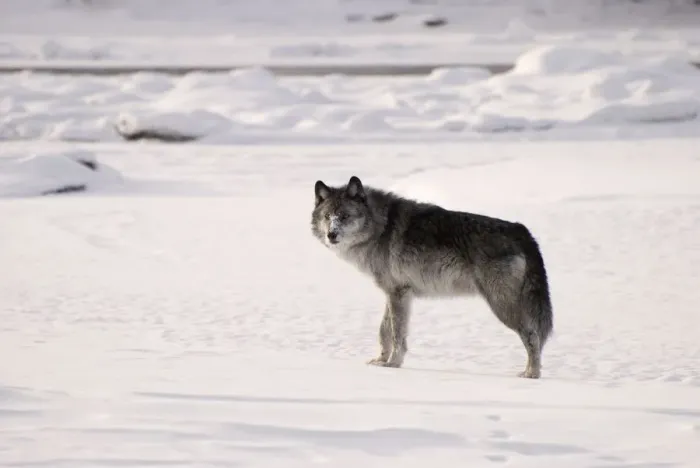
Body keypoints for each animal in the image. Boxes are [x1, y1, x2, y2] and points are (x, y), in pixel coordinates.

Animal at [310, 175, 554, 379]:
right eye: (327, 217)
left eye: (344, 216)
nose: (331, 235)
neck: (381, 227)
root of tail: (522, 230)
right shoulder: (395, 293)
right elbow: (384, 330)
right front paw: (381, 361)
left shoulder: (398, 293)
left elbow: (397, 334)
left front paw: (393, 364)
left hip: (502, 306)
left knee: (533, 336)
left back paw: (531, 374)